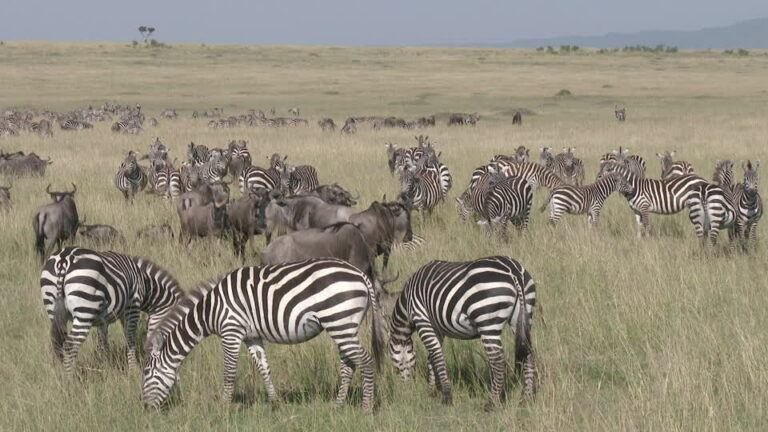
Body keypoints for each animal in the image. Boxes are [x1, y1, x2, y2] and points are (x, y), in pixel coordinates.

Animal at [40, 246, 183, 374]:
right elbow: (130, 339)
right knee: (70, 346)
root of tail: (64, 260)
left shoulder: (102, 320)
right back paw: (69, 380)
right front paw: (133, 371)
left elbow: (103, 344)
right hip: (84, 311)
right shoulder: (132, 308)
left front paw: (106, 367)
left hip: (53, 308)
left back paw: (59, 375)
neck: (144, 283)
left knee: (59, 343)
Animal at [140, 258, 384, 410]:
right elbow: (264, 367)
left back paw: (366, 408)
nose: (146, 409)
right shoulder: (251, 336)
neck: (210, 310)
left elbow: (229, 372)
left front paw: (223, 407)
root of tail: (360, 273)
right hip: (344, 325)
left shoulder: (231, 331)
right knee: (348, 365)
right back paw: (337, 405)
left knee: (366, 360)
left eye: (148, 374)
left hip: (339, 321)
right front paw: (275, 403)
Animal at [388, 255, 536, 406]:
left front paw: (446, 397)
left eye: (396, 362)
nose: (405, 390)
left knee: (498, 361)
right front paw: (432, 391)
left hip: (487, 321)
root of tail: (513, 270)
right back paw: (527, 398)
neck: (407, 304)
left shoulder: (423, 320)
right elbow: (432, 358)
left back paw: (491, 402)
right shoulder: (437, 328)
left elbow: (437, 357)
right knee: (529, 354)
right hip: (523, 316)